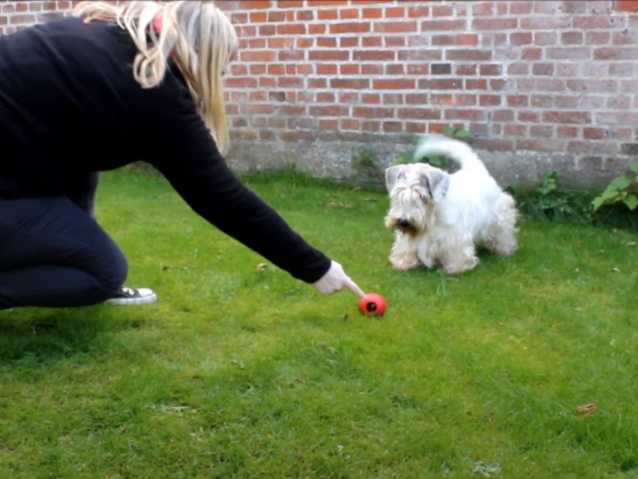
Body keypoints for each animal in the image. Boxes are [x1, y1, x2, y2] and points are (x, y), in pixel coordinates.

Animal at [384, 134, 518, 274]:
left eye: (422, 196)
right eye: (398, 195)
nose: (403, 221)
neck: (433, 215)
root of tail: (476, 169)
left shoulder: (455, 238)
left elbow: (456, 253)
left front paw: (456, 268)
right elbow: (405, 249)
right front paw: (403, 263)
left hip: (500, 217)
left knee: (503, 233)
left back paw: (505, 250)